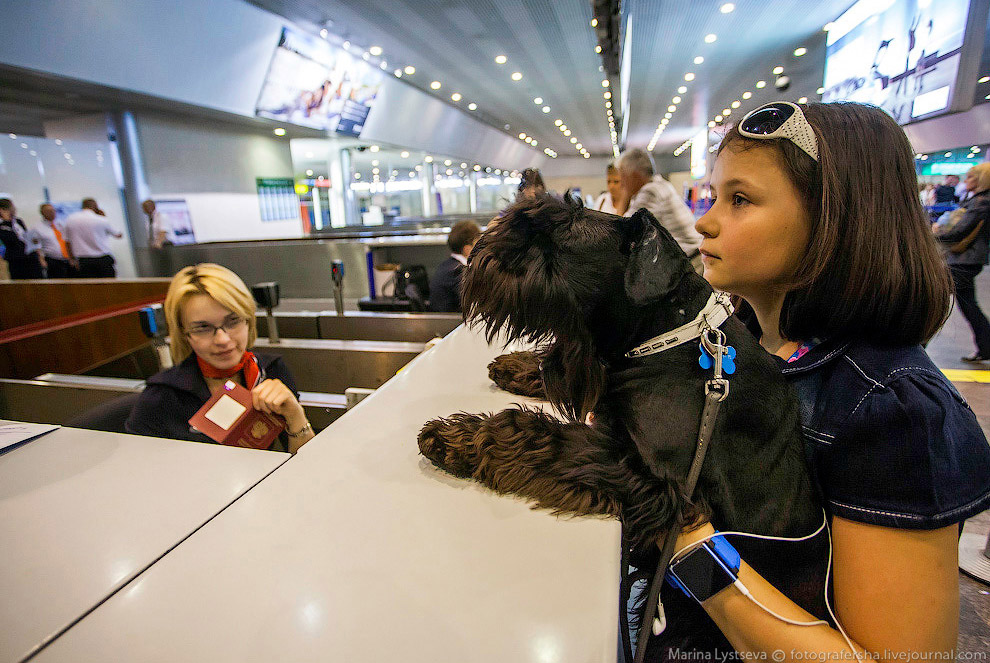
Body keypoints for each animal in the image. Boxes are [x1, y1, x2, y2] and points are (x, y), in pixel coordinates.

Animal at [418, 195, 828, 656]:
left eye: (561, 233)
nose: (481, 252)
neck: (674, 334)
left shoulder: (658, 484)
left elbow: (539, 435)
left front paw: (456, 437)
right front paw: (514, 366)